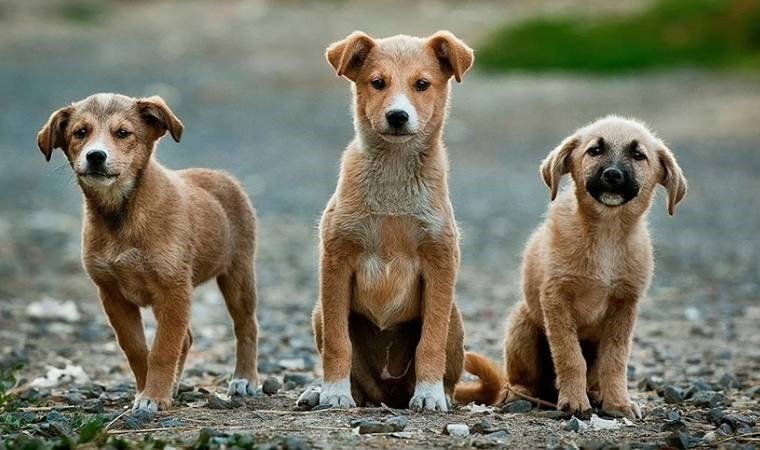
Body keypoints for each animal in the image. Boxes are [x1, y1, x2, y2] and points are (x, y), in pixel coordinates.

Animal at [36, 94, 262, 412]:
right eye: (80, 133)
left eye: (123, 133)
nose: (96, 156)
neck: (121, 215)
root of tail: (222, 176)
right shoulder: (112, 294)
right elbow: (137, 349)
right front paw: (148, 391)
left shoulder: (173, 289)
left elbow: (163, 349)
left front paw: (153, 396)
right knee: (187, 338)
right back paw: (176, 386)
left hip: (238, 274)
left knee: (246, 326)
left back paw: (245, 379)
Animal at [458, 116, 688, 418]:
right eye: (595, 151)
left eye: (639, 155)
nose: (612, 175)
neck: (606, 234)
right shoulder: (556, 299)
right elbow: (569, 356)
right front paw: (574, 401)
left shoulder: (625, 305)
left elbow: (615, 360)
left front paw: (618, 403)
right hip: (522, 324)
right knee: (519, 379)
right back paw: (519, 394)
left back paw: (596, 394)